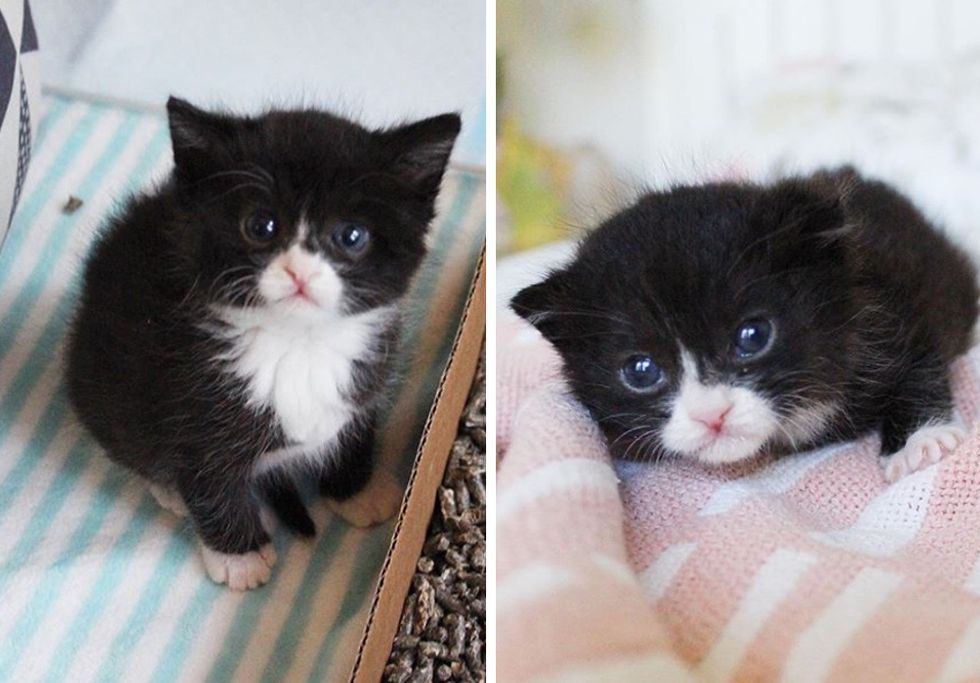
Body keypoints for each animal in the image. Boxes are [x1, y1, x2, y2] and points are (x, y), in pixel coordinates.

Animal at [69, 97, 460, 592]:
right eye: (260, 226)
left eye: (352, 236)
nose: (299, 272)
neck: (297, 342)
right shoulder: (185, 398)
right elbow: (209, 479)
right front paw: (240, 558)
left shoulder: (365, 383)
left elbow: (352, 432)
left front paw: (357, 491)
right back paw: (169, 488)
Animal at [512, 168, 980, 484]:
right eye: (641, 370)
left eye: (752, 337)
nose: (711, 416)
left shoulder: (893, 305)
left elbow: (920, 359)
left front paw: (921, 443)